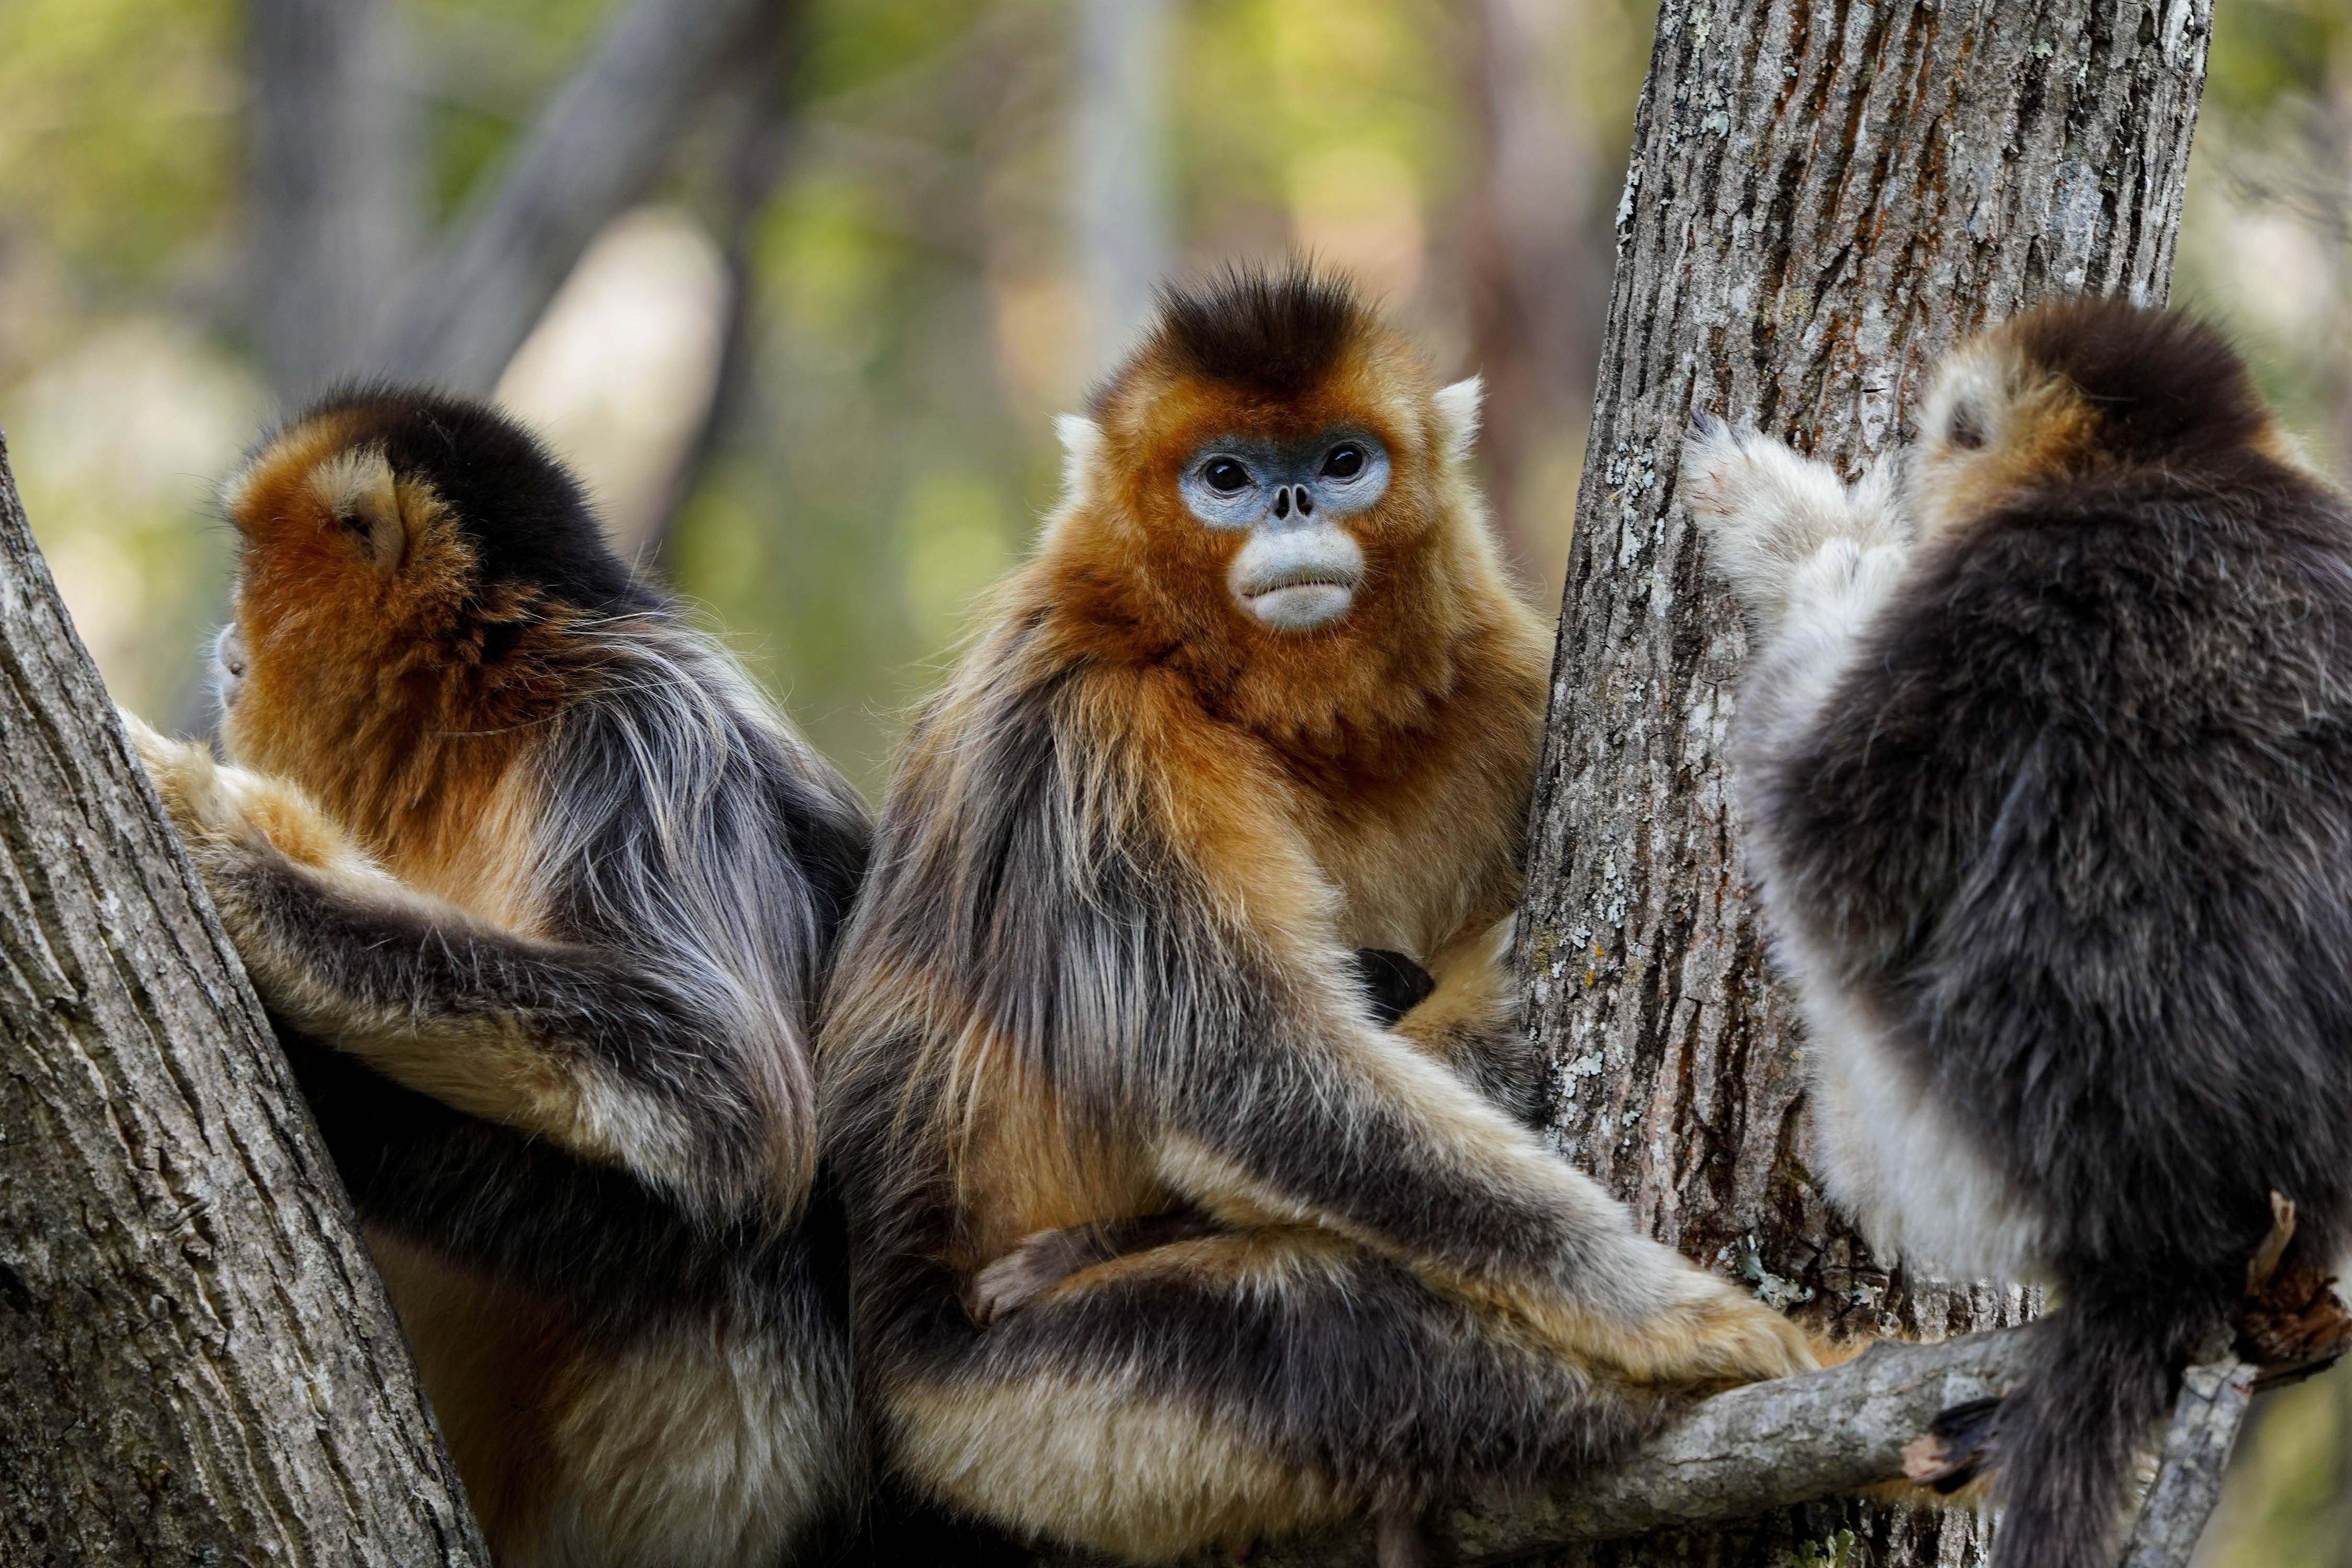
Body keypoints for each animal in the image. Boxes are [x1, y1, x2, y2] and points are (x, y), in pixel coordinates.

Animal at [121, 385, 875, 1561]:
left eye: (250, 574)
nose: (226, 649)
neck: (489, 719)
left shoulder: (639, 744)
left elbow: (717, 1085)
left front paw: (228, 847)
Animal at [818, 263, 1806, 1561]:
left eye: (1343, 461)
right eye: (1226, 478)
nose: (1290, 501)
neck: (1268, 704)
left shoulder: (1496, 678)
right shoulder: (1100, 734)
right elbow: (1246, 1089)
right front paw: (1675, 1312)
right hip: (998, 1423)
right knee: (1339, 1332)